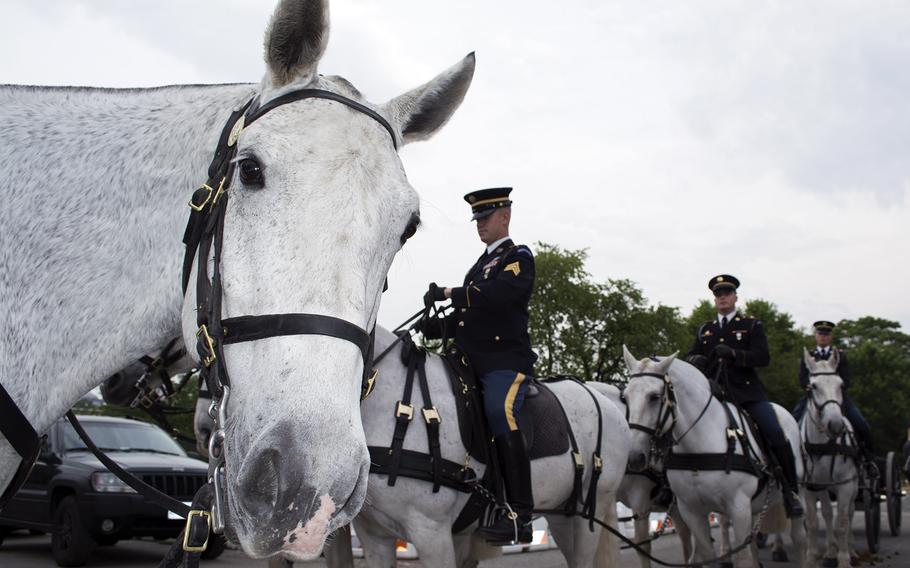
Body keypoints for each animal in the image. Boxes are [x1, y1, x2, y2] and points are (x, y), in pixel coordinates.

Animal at [624, 346, 808, 568]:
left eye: (654, 397)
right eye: (625, 398)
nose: (634, 457)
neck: (697, 448)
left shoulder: (739, 507)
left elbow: (743, 558)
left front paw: (724, 351)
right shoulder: (691, 510)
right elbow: (707, 554)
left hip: (796, 494)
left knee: (800, 538)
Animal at [800, 348, 860, 568]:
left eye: (841, 385)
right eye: (813, 386)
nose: (835, 424)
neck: (824, 443)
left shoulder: (845, 484)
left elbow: (842, 522)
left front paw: (844, 559)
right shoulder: (808, 487)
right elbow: (813, 522)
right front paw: (811, 558)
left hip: (854, 484)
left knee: (849, 513)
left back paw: (851, 550)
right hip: (822, 486)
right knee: (826, 512)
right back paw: (830, 551)